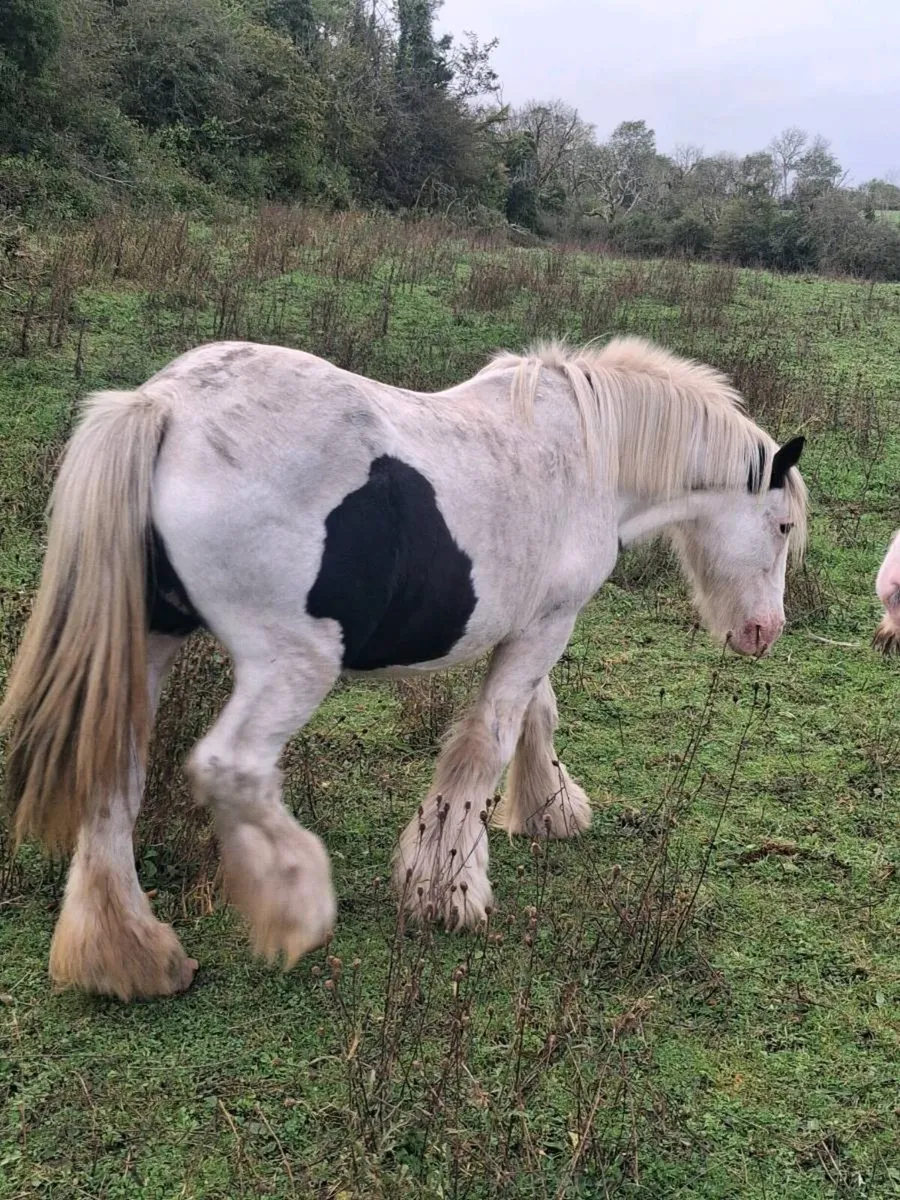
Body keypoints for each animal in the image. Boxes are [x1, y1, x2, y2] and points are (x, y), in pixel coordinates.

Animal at [0, 336, 808, 1001]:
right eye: (782, 526)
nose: (763, 632)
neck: (586, 451)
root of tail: (164, 404)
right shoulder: (546, 625)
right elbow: (488, 740)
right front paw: (445, 887)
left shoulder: (534, 624)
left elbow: (534, 716)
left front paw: (548, 810)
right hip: (292, 665)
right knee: (232, 769)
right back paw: (297, 903)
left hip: (148, 645)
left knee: (112, 774)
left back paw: (127, 955)